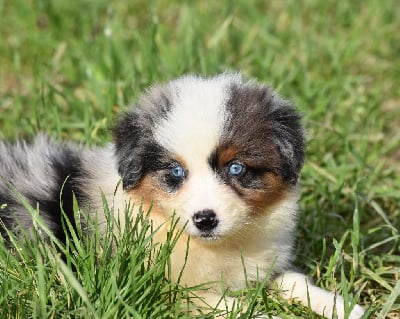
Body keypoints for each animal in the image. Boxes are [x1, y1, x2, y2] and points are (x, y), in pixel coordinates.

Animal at [0, 74, 366, 318]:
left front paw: (343, 306)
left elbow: (292, 280)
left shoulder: (260, 266)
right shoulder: (169, 290)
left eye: (236, 168)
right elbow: (231, 307)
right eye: (176, 172)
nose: (205, 219)